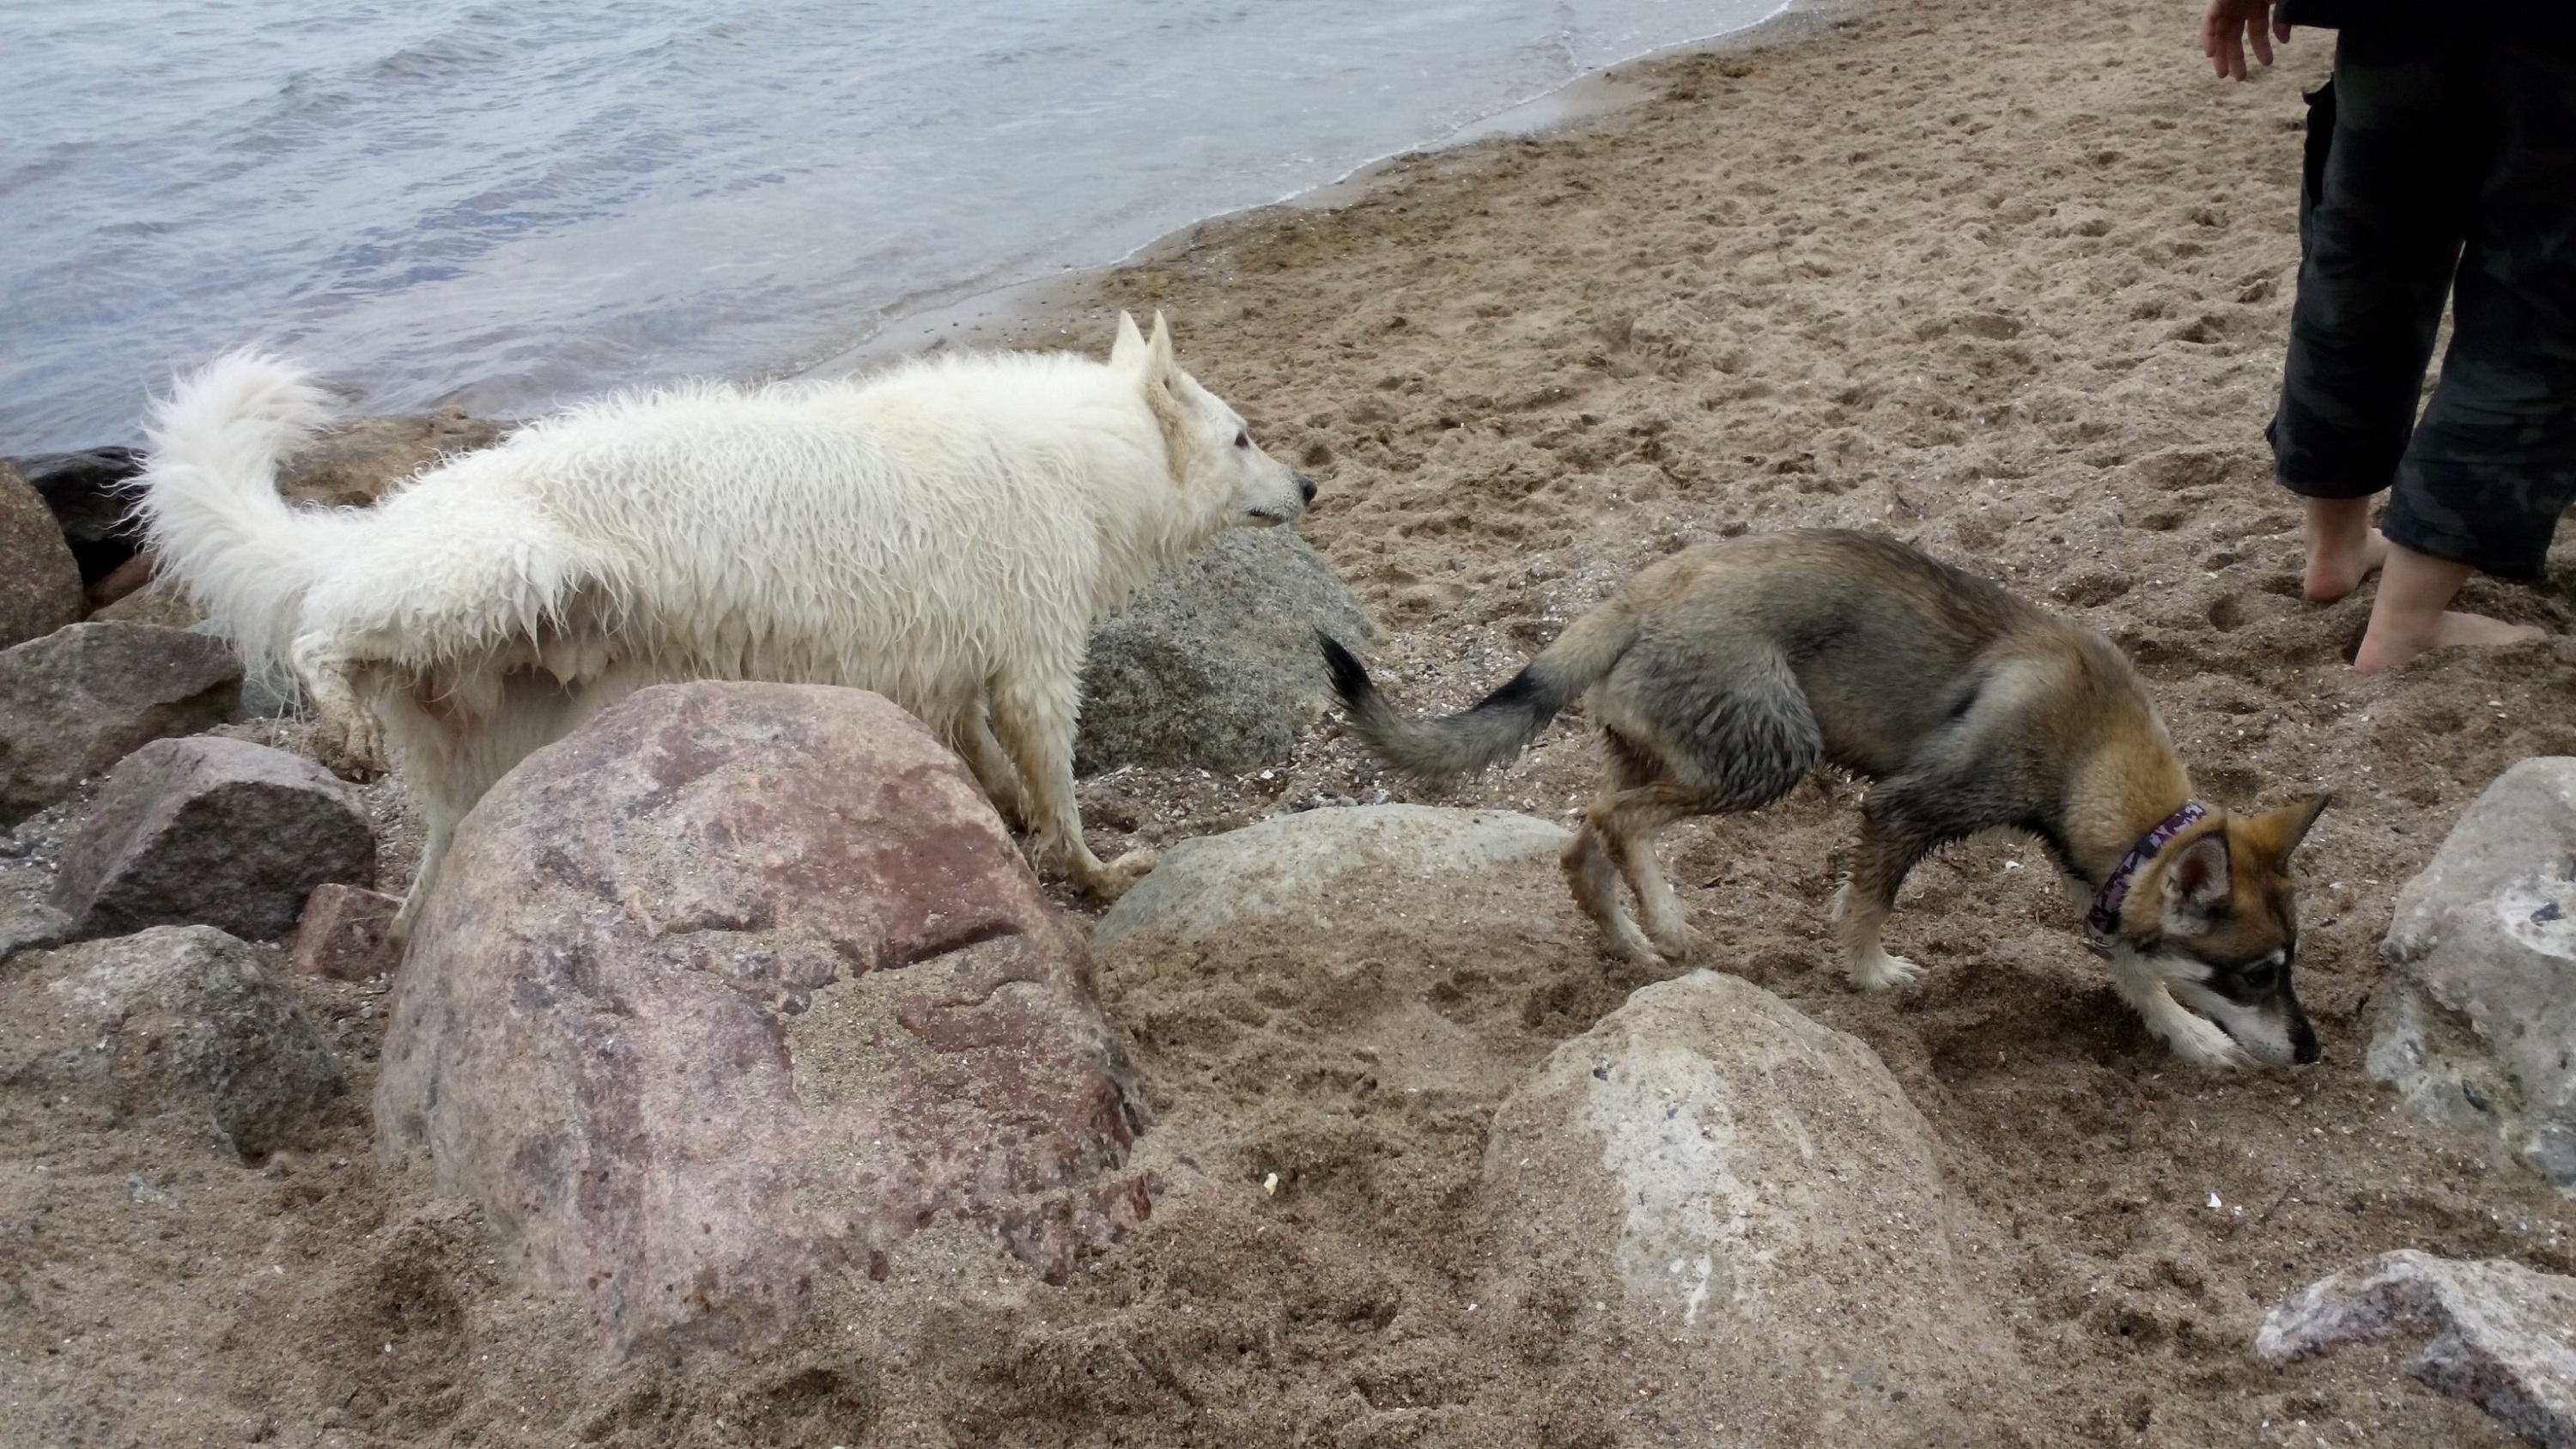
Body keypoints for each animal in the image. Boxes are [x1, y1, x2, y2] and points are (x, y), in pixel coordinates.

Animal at [136, 310, 1309, 928]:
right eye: (1245, 437)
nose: (1311, 486)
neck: (1089, 456)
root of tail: (379, 526)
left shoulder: (954, 677)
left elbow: (993, 766)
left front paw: (1017, 820)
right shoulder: (1032, 669)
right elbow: (1058, 794)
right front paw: (1095, 870)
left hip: (496, 746)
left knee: (430, 881)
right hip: (500, 573)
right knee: (322, 633)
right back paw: (336, 715)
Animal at [1329, 528, 2339, 1062]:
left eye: (2287, 965)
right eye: (2256, 972)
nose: (2311, 1048)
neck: (2095, 744)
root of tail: (1635, 598)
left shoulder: (2101, 875)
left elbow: (2133, 961)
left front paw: (2183, 1032)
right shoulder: (1906, 809)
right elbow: (1869, 906)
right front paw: (1870, 973)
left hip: (1666, 752)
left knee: (1586, 841)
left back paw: (1632, 940)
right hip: (1770, 753)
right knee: (1615, 822)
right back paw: (1665, 921)